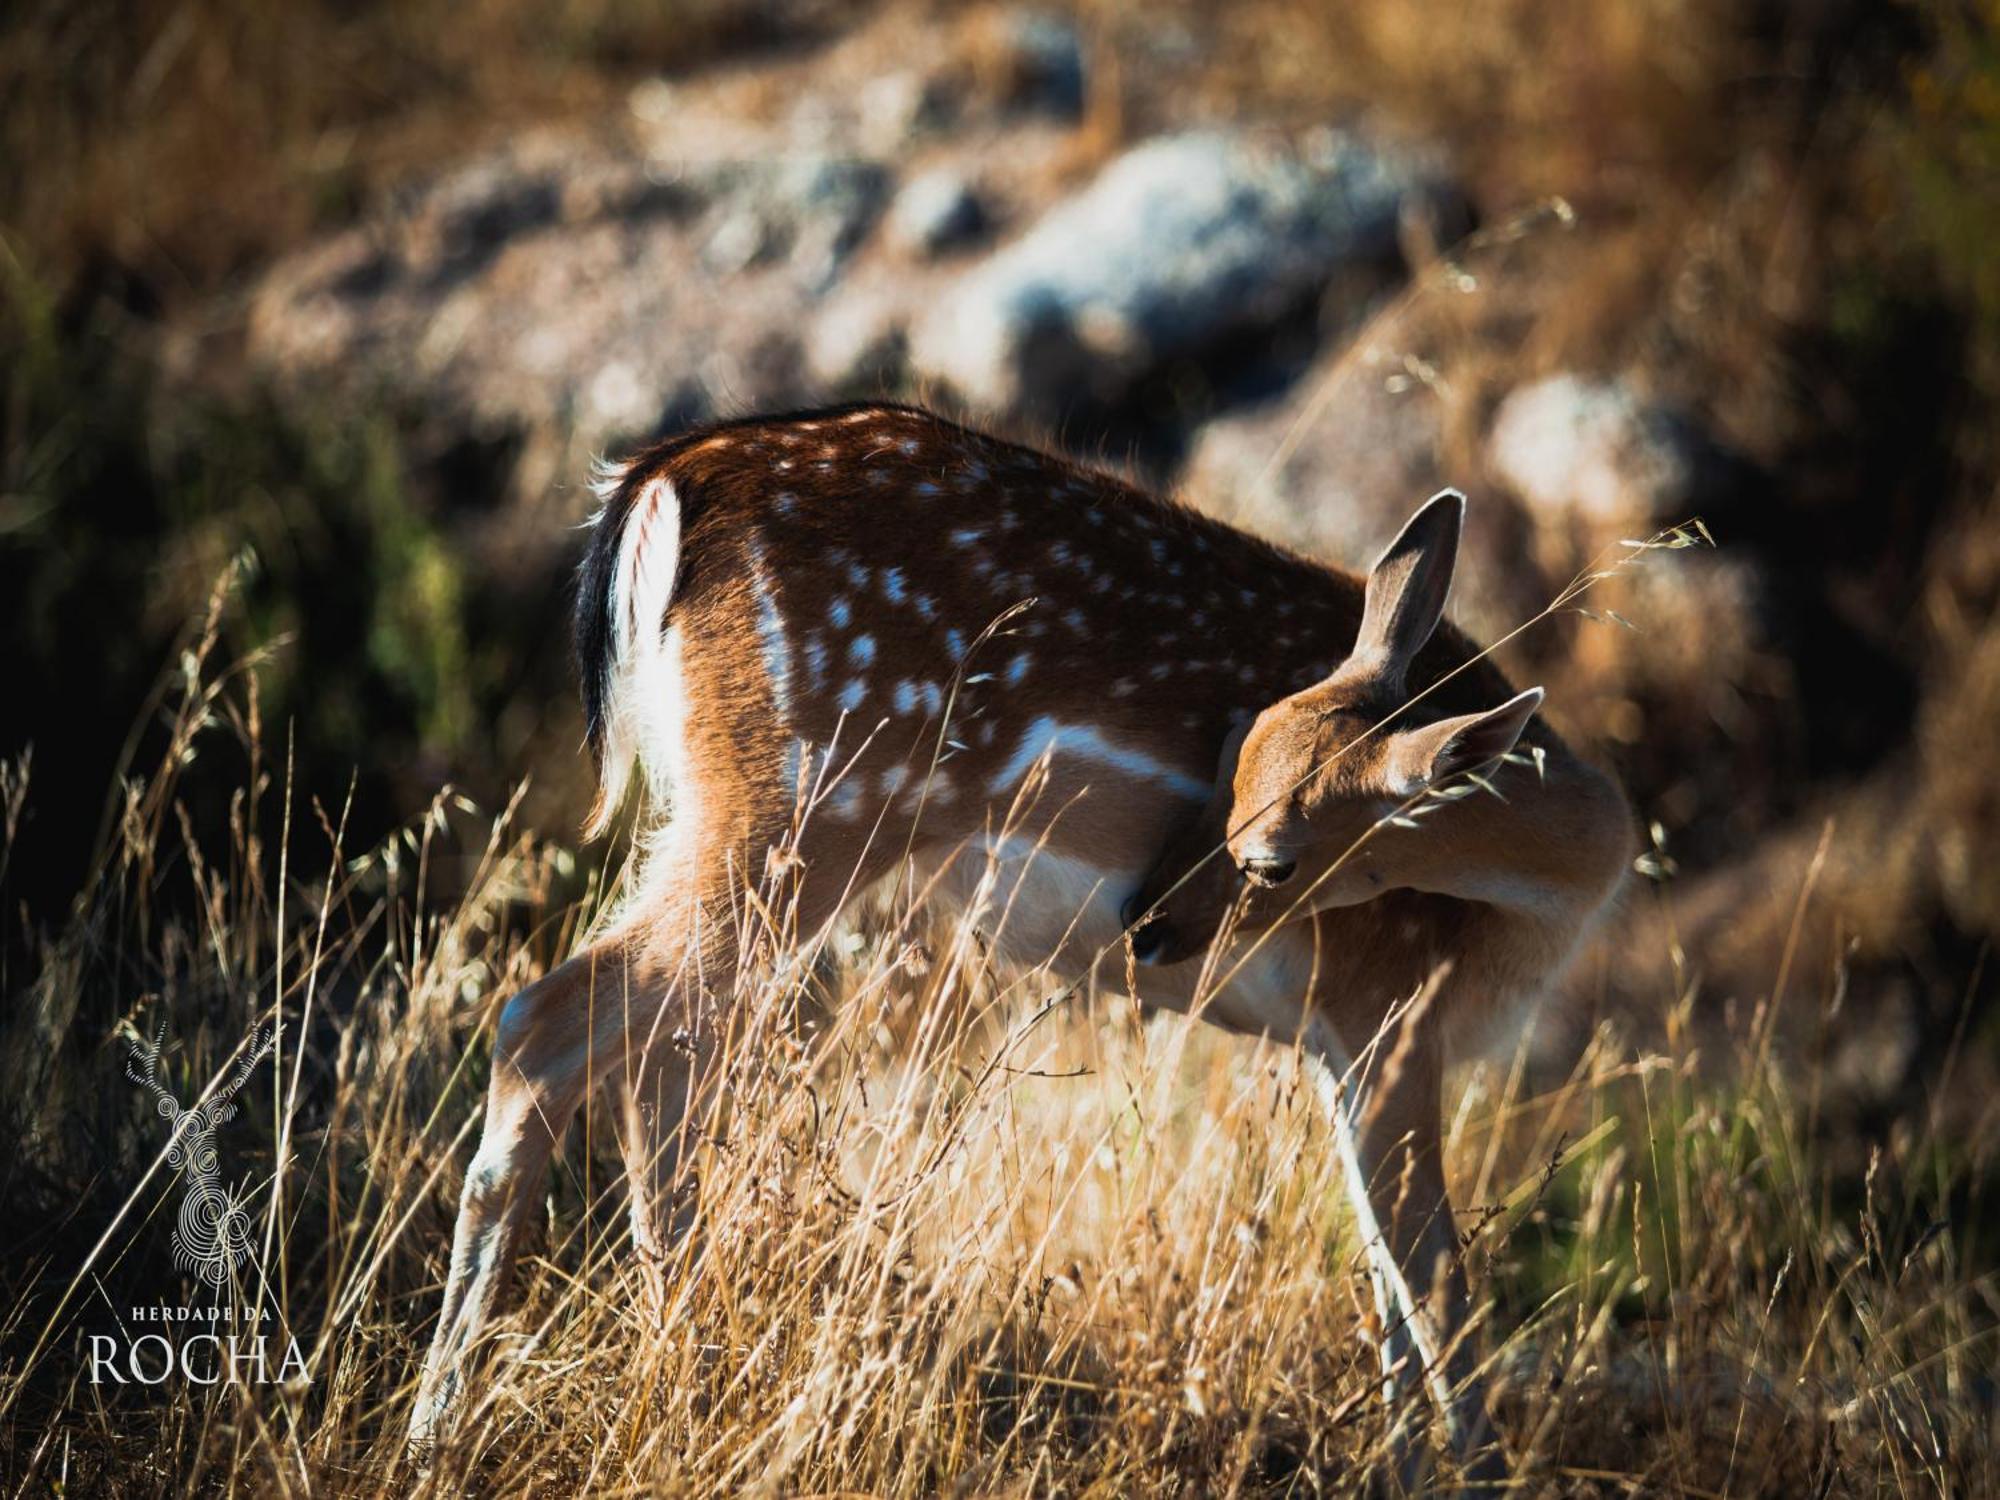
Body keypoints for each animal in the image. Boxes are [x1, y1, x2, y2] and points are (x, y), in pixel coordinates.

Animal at [410, 396, 1640, 1480]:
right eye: (1233, 786)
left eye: (1245, 755)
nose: (1149, 923)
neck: (1540, 906)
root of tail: (662, 481)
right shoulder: (1382, 1010)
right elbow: (1437, 1294)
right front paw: (1481, 1475)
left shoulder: (1345, 1050)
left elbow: (1386, 1300)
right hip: (804, 803)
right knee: (547, 1022)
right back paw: (437, 1433)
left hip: (731, 824)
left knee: (660, 1062)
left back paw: (674, 1360)